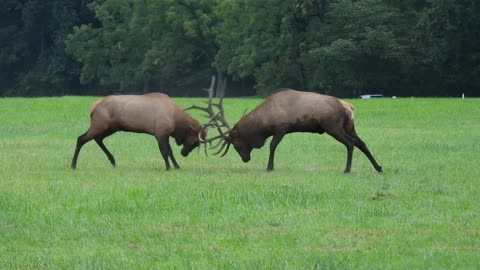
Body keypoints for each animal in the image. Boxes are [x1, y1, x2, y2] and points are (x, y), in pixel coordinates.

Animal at [71, 92, 204, 169]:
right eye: (194, 142)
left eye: (197, 144)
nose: (184, 153)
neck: (175, 121)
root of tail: (93, 107)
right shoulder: (160, 132)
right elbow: (164, 151)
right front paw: (168, 167)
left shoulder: (165, 134)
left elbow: (170, 151)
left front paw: (177, 166)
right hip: (99, 125)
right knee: (81, 139)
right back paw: (73, 165)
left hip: (110, 128)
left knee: (98, 139)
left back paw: (113, 160)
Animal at [191, 80, 382, 173]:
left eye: (237, 144)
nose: (246, 159)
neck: (264, 122)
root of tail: (349, 107)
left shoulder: (280, 128)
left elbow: (272, 146)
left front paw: (269, 167)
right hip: (349, 126)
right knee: (361, 143)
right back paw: (378, 167)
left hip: (333, 126)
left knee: (350, 143)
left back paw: (347, 169)